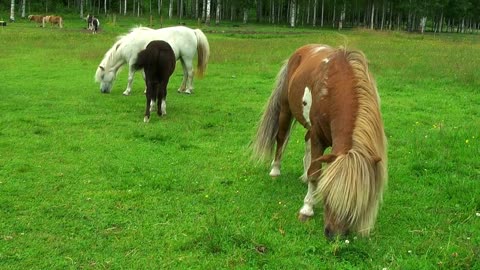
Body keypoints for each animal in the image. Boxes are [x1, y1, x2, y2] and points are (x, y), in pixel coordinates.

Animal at [253, 43, 388, 238]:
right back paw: (275, 170)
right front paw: (307, 208)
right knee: (281, 138)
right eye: (329, 194)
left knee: (306, 144)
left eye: (355, 201)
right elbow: (315, 173)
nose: (334, 234)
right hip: (285, 110)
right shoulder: (318, 136)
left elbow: (315, 167)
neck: (336, 88)